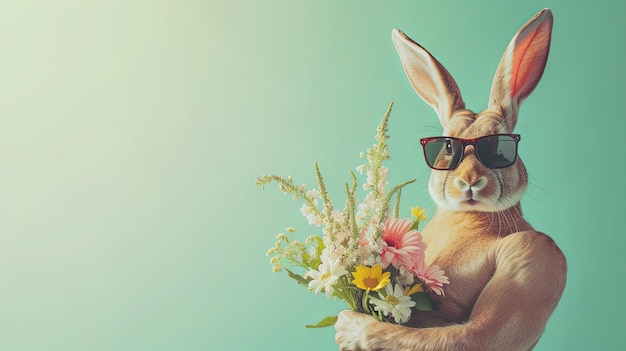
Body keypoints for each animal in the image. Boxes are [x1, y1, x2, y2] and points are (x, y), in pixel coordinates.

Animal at [336, 8, 564, 351]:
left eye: (500, 148)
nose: (469, 180)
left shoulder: (536, 253)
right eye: (446, 147)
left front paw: (349, 327)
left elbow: (472, 335)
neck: (470, 215)